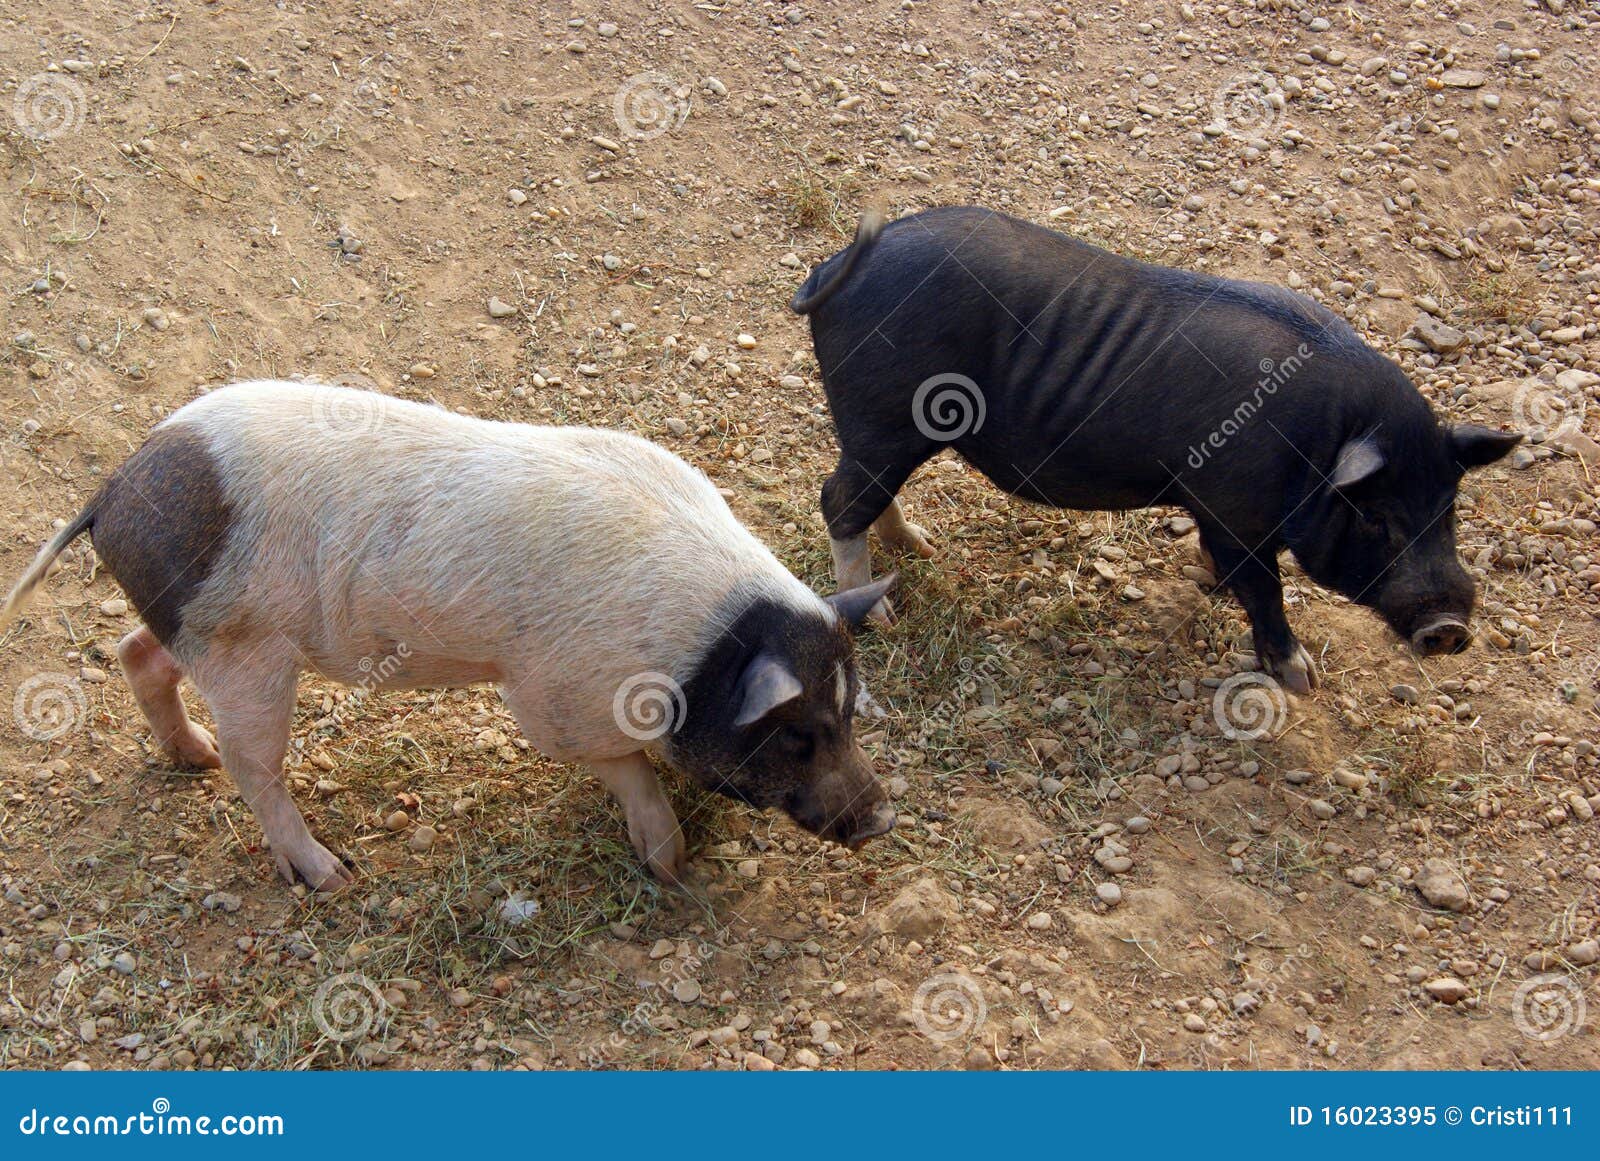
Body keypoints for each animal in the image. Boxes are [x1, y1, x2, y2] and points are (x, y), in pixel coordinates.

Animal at [0, 381, 896, 890]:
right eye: (799, 735)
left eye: (851, 715)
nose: (881, 819)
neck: (701, 650)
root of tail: (110, 490)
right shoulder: (549, 695)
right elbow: (621, 766)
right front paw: (670, 869)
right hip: (244, 652)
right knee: (256, 772)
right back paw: (330, 875)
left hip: (198, 629)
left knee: (137, 653)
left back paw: (195, 757)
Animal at [792, 207, 1522, 693]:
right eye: (1376, 517)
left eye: (1449, 510)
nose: (1451, 627)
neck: (1316, 442)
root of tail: (833, 269)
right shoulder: (1233, 510)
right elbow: (1263, 589)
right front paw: (1302, 679)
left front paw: (1209, 585)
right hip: (884, 419)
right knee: (838, 500)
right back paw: (881, 617)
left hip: (893, 432)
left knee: (868, 497)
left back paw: (926, 548)